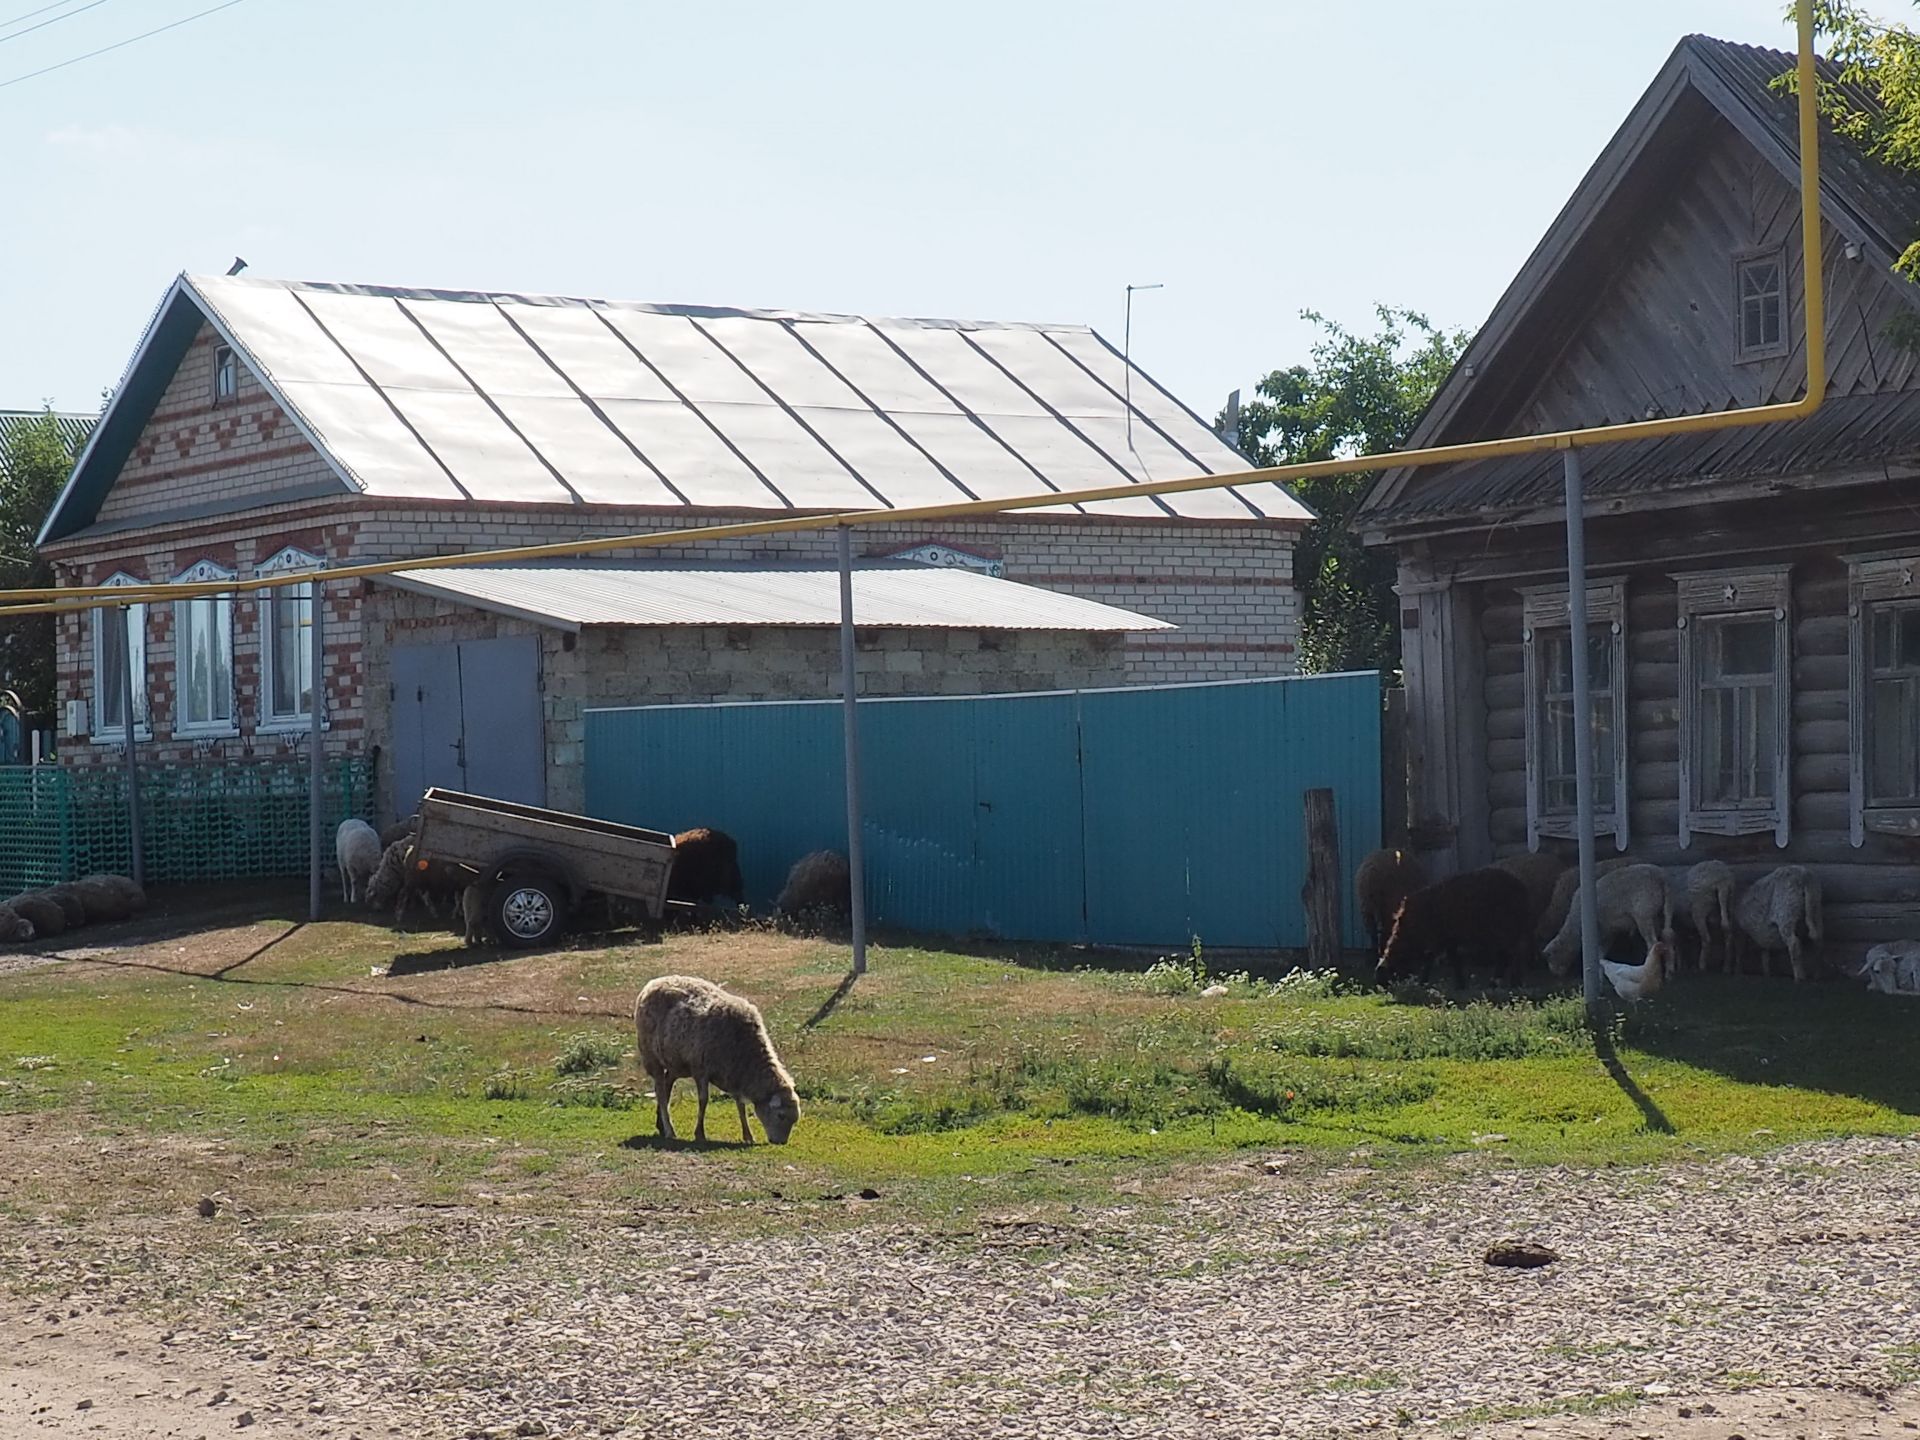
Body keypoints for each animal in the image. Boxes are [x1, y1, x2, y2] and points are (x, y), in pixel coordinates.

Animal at [633, 975, 798, 1144]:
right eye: (781, 1115)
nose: (781, 1142)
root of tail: (655, 982)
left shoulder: (733, 1074)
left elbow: (740, 1105)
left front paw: (747, 1135)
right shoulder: (701, 1070)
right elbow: (703, 1100)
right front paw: (700, 1133)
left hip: (675, 1062)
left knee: (667, 1087)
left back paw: (660, 1124)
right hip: (652, 1057)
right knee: (660, 1092)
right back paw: (669, 1130)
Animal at [1374, 867, 1536, 990]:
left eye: (1382, 976)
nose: (1380, 990)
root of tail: (1523, 890)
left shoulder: (1438, 937)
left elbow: (1435, 959)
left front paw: (1424, 982)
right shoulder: (1447, 938)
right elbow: (1449, 958)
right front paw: (1459, 983)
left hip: (1502, 928)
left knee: (1507, 954)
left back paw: (1499, 982)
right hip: (1512, 930)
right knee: (1515, 953)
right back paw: (1514, 981)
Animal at [1536, 867, 1674, 983]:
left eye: (1550, 958)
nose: (1556, 975)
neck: (1575, 926)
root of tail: (1660, 875)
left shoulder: (1600, 931)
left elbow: (1598, 953)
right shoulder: (1609, 932)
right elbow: (1602, 953)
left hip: (1644, 914)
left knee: (1652, 943)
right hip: (1660, 913)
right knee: (1666, 938)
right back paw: (1669, 973)